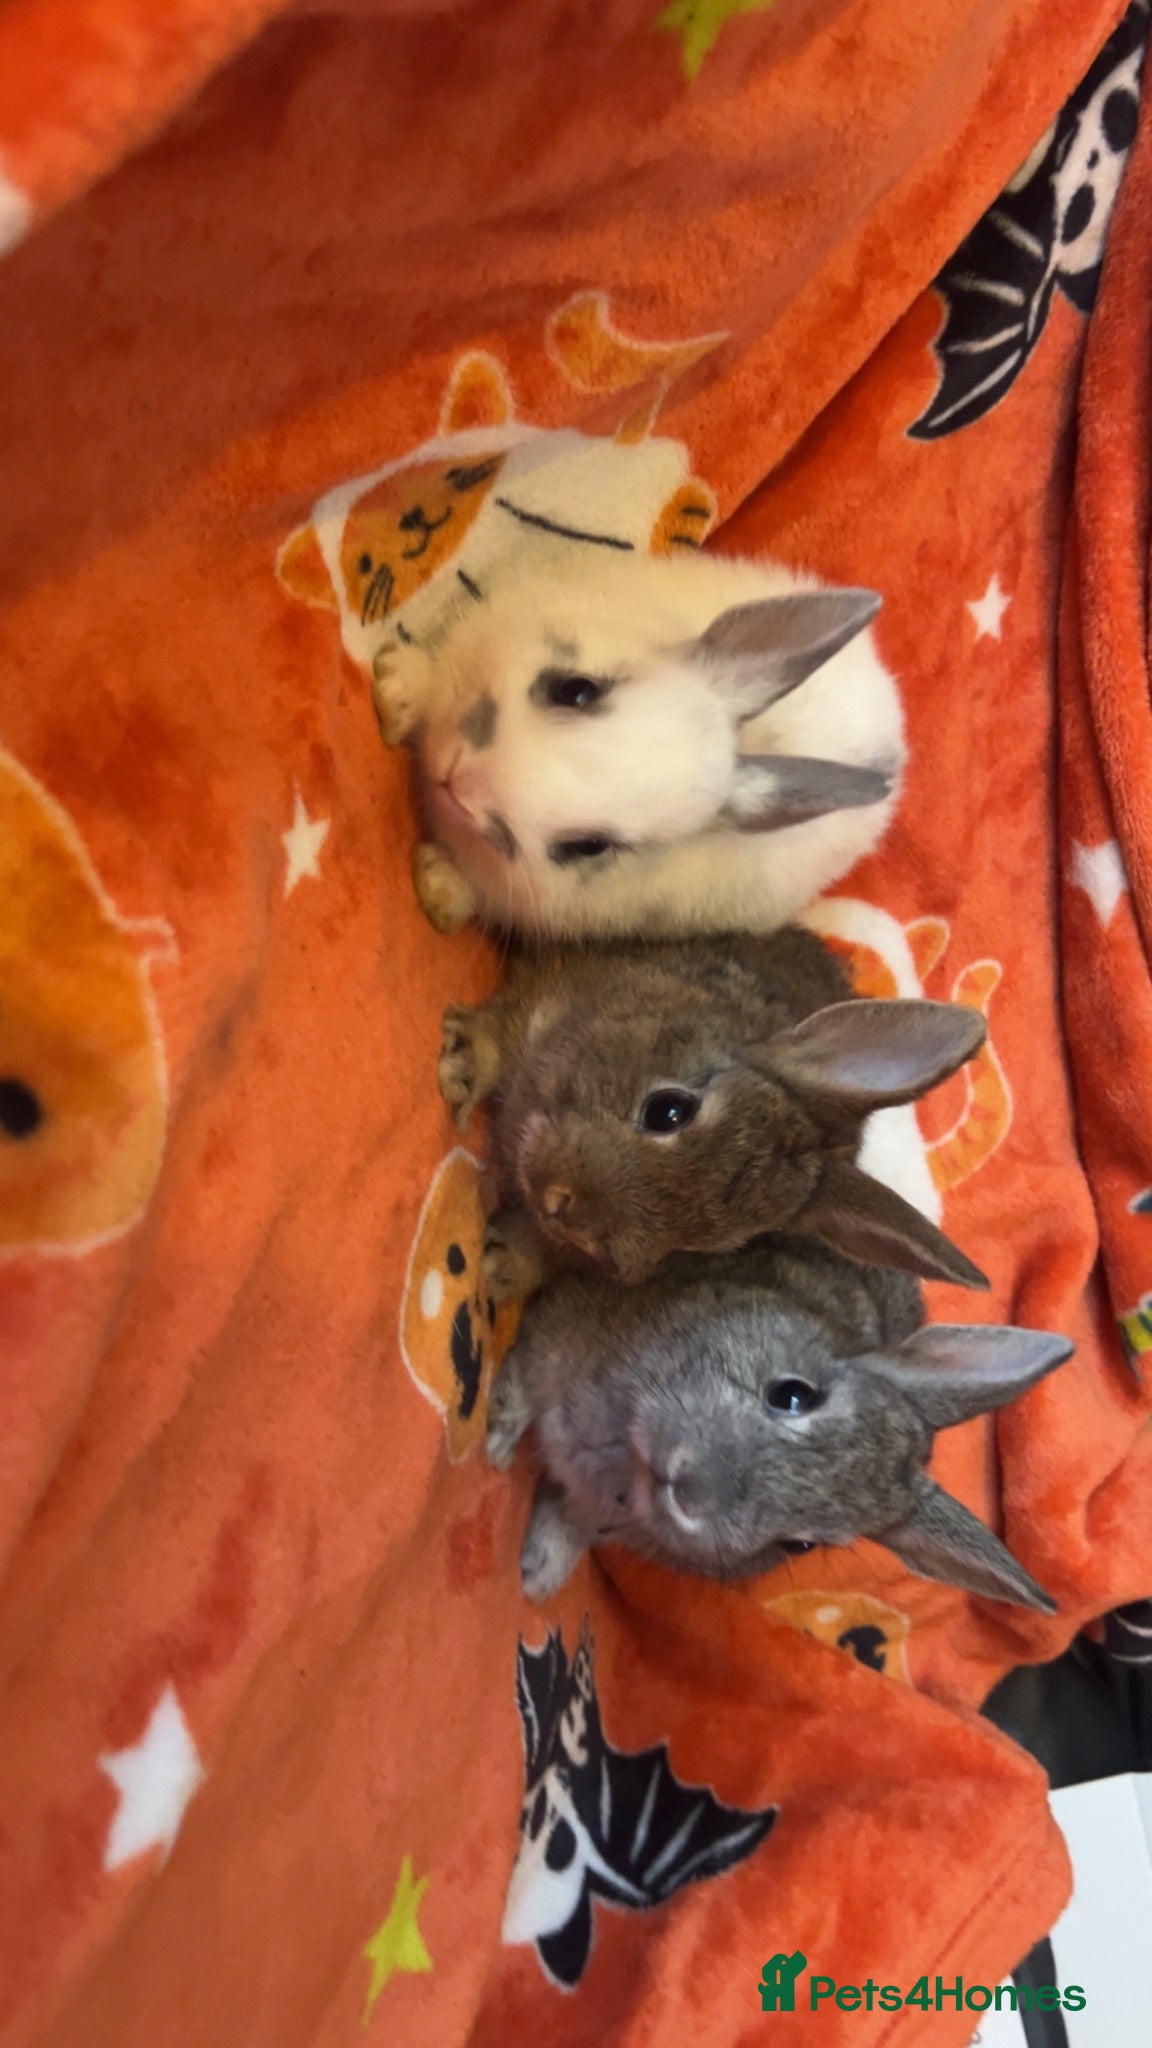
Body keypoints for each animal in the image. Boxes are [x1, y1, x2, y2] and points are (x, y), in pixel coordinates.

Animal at [370, 548, 905, 939]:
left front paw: (436, 889)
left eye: (591, 847)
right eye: (577, 689)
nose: (462, 781)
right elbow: (426, 684)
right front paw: (394, 685)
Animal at [438, 922, 990, 1295]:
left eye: (699, 1246)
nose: (565, 1212)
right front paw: (464, 1064)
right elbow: (500, 1034)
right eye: (668, 1111)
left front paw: (502, 1265)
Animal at [483, 1233, 1073, 1608]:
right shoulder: (560, 1330)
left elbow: (573, 1519)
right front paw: (494, 1442)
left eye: (799, 1546)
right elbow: (522, 1382)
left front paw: (539, 1576)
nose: (691, 1491)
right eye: (792, 1394)